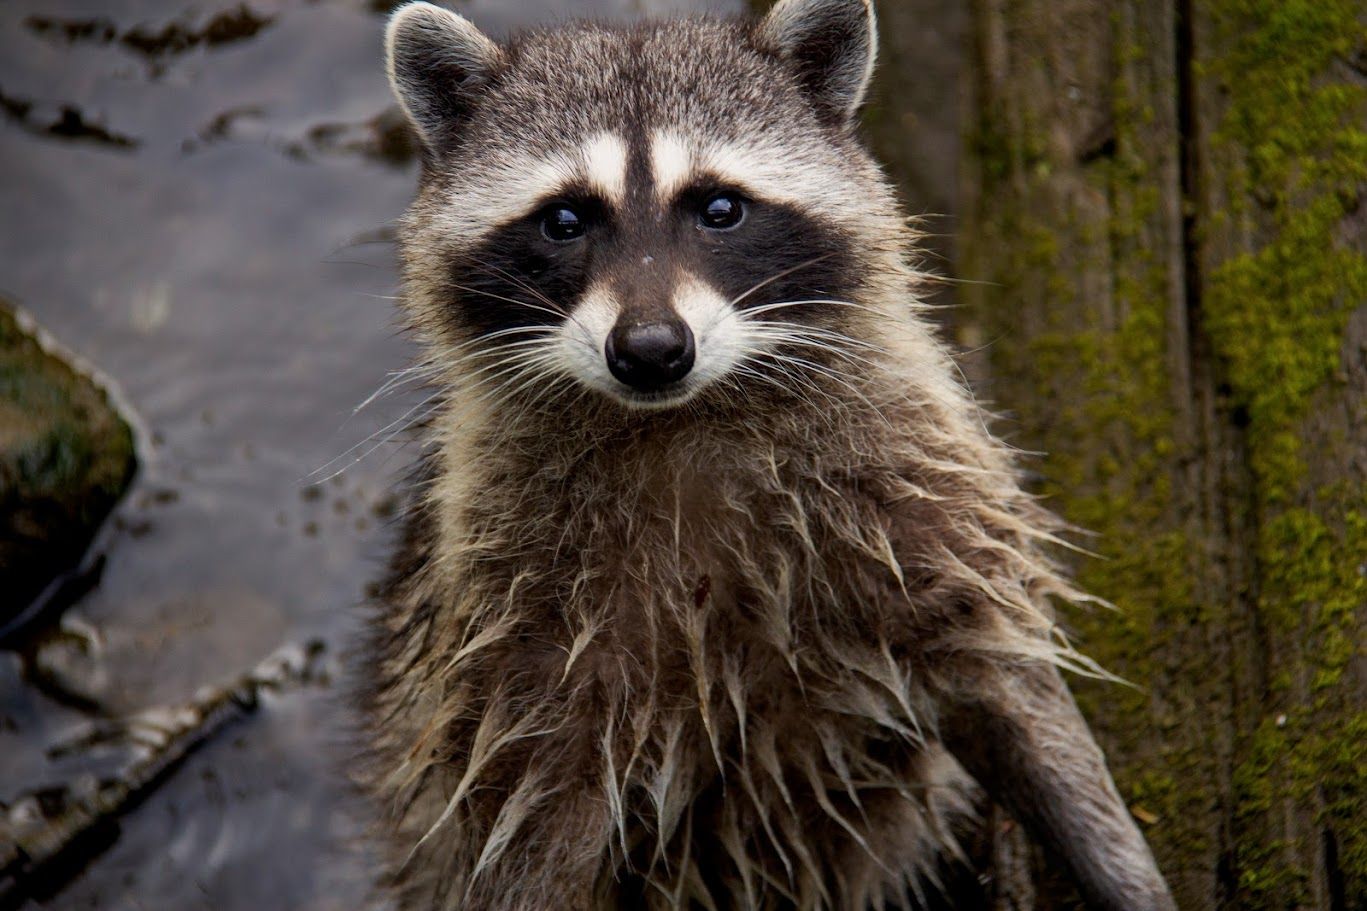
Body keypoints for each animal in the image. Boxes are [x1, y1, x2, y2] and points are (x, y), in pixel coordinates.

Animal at [360, 0, 1175, 902]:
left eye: (718, 208)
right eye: (564, 221)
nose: (650, 349)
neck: (681, 421)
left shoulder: (917, 497)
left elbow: (1012, 694)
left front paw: (1119, 866)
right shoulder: (511, 623)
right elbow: (527, 827)